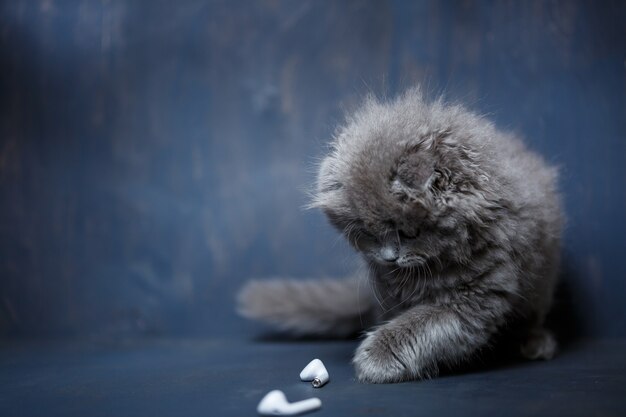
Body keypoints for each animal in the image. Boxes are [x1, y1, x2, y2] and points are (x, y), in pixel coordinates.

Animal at [238, 88, 560, 384]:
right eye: (368, 233)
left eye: (408, 232)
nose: (389, 257)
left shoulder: (478, 296)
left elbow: (425, 324)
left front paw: (376, 358)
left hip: (541, 286)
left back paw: (536, 343)